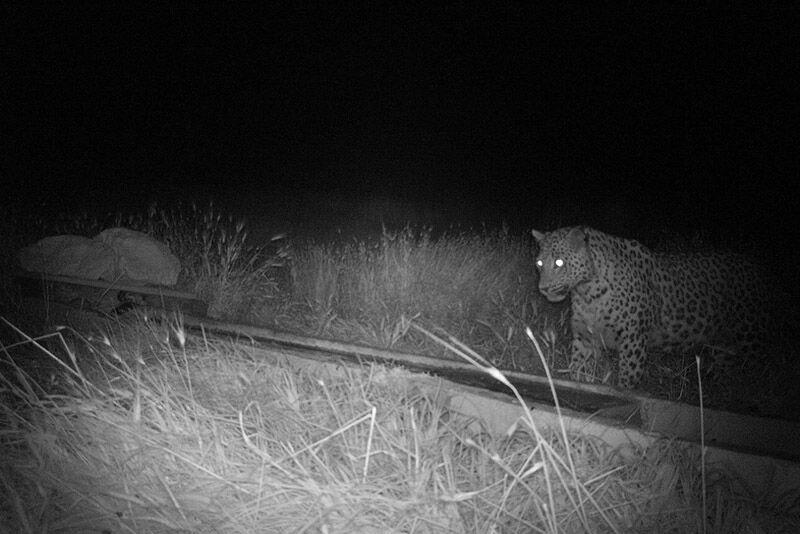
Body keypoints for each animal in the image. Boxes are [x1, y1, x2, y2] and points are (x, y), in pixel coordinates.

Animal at [532, 226, 768, 390]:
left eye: (560, 263)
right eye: (540, 264)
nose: (543, 289)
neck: (588, 291)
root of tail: (756, 267)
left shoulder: (633, 340)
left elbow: (628, 378)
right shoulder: (585, 338)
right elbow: (577, 368)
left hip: (750, 338)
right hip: (724, 347)